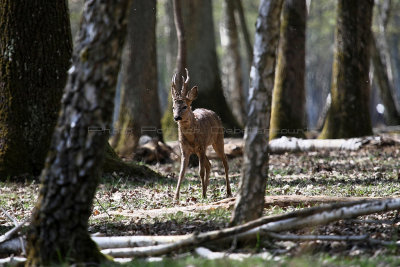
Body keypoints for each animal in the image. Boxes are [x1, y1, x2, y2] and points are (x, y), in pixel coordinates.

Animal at [171, 69, 233, 201]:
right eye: (173, 107)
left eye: (185, 106)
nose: (176, 117)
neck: (191, 139)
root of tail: (214, 113)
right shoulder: (184, 150)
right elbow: (181, 173)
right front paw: (176, 197)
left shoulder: (201, 146)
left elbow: (200, 171)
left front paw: (203, 194)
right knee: (209, 164)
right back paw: (206, 189)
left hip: (218, 139)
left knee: (225, 162)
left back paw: (228, 192)